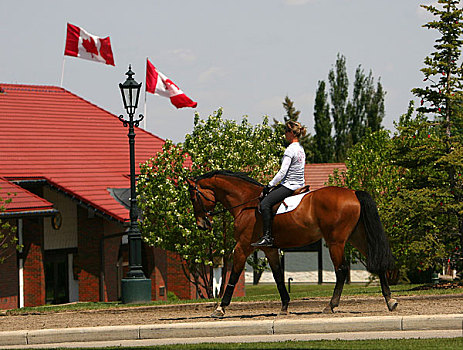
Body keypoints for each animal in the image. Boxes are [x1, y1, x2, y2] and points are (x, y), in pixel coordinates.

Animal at [187, 170, 396, 318]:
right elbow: (279, 277)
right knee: (377, 263)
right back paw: (390, 301)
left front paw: (220, 308)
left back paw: (330, 305)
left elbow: (233, 276)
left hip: (335, 241)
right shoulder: (270, 250)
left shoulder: (242, 247)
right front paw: (285, 306)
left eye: (193, 198)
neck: (245, 203)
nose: (202, 224)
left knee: (342, 270)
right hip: (356, 237)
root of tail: (353, 193)